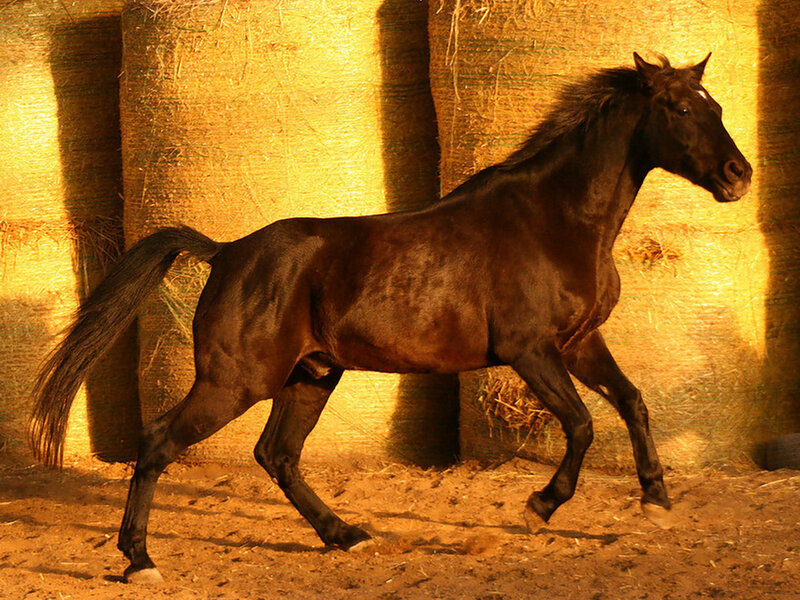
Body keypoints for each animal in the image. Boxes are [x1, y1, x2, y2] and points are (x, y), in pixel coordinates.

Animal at [30, 53, 752, 583]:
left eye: (715, 105)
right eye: (681, 108)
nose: (738, 175)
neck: (553, 220)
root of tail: (228, 251)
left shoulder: (578, 343)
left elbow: (632, 402)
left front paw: (656, 502)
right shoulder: (531, 351)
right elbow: (580, 425)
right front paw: (540, 506)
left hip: (311, 375)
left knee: (277, 455)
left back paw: (347, 536)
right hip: (236, 382)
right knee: (160, 444)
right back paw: (140, 561)